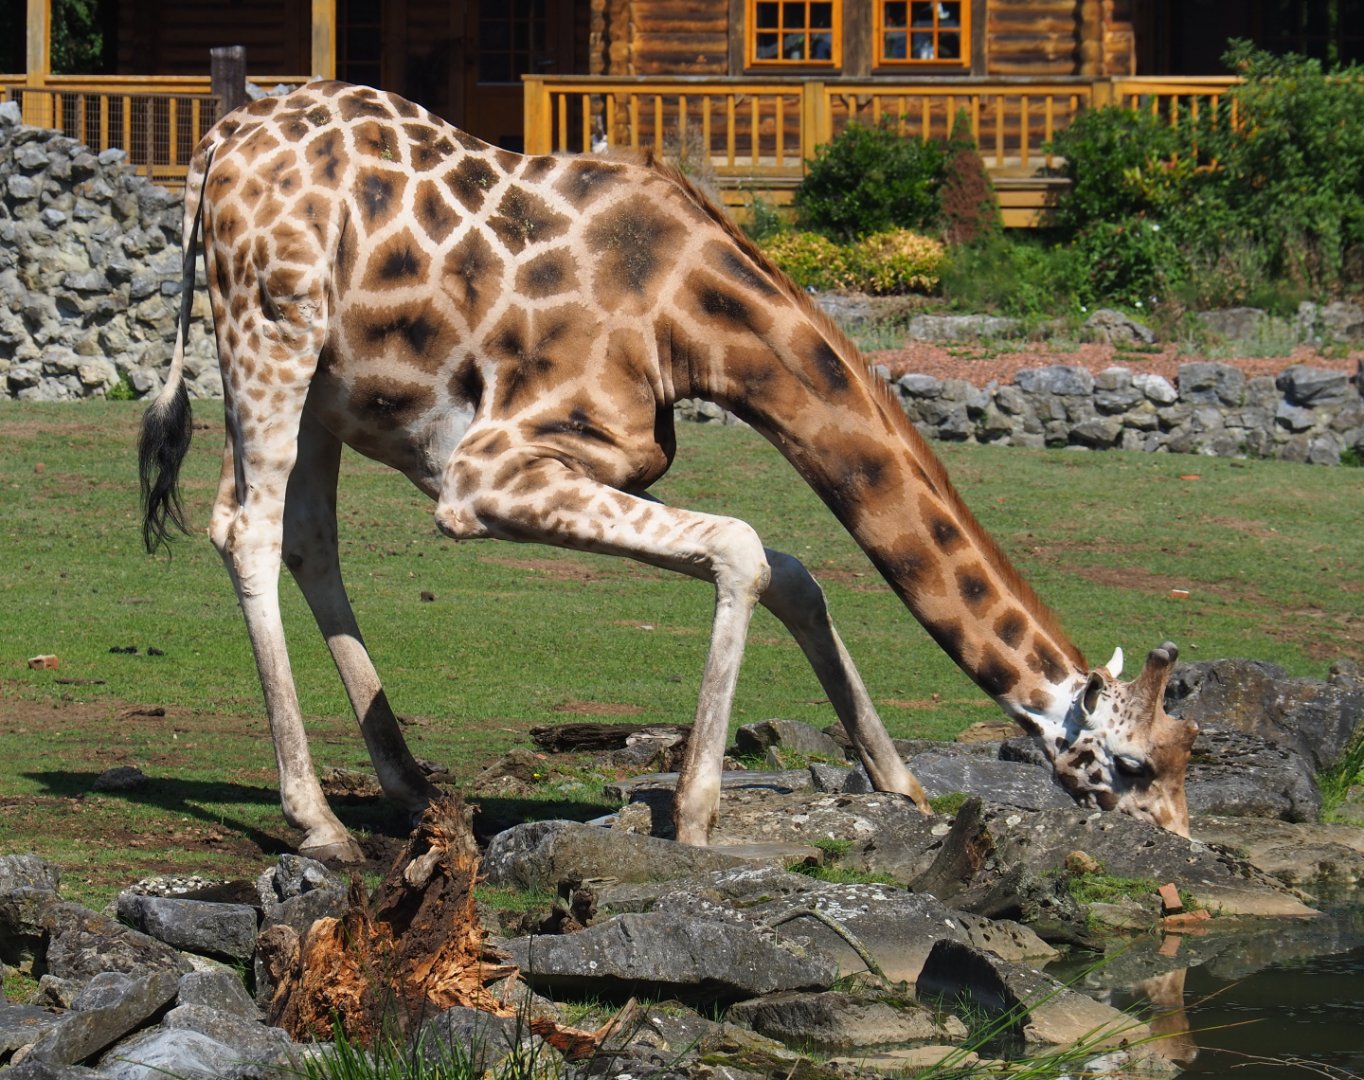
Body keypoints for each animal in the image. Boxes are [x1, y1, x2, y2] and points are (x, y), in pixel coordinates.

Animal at [139, 82, 1197, 861]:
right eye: (1136, 768)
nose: (1184, 850)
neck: (695, 318)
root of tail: (216, 143)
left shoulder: (617, 455)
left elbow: (790, 570)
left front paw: (901, 787)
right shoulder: (483, 474)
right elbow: (743, 548)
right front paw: (693, 817)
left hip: (326, 382)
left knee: (307, 536)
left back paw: (406, 785)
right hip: (273, 325)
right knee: (246, 526)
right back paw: (318, 824)